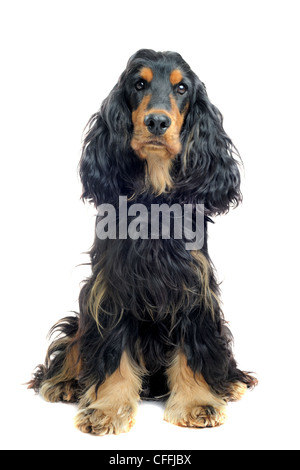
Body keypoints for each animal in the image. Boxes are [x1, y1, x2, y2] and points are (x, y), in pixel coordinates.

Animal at [29, 49, 256, 436]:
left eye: (181, 88)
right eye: (139, 84)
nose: (157, 122)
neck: (154, 197)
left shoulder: (194, 286)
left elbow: (193, 347)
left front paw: (197, 402)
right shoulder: (111, 287)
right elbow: (113, 351)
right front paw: (106, 409)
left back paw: (231, 382)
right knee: (73, 343)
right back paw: (64, 382)